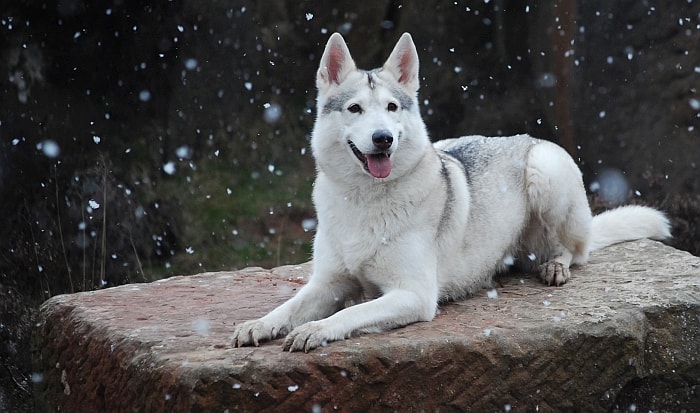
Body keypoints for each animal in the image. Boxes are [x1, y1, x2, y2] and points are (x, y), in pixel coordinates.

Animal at [232, 32, 668, 350]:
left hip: (547, 173)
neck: (366, 199)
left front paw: (316, 329)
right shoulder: (326, 283)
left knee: (576, 250)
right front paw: (260, 323)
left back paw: (555, 265)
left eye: (391, 108)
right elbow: (289, 306)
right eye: (355, 109)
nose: (383, 138)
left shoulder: (414, 294)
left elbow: (345, 315)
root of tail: (524, 136)